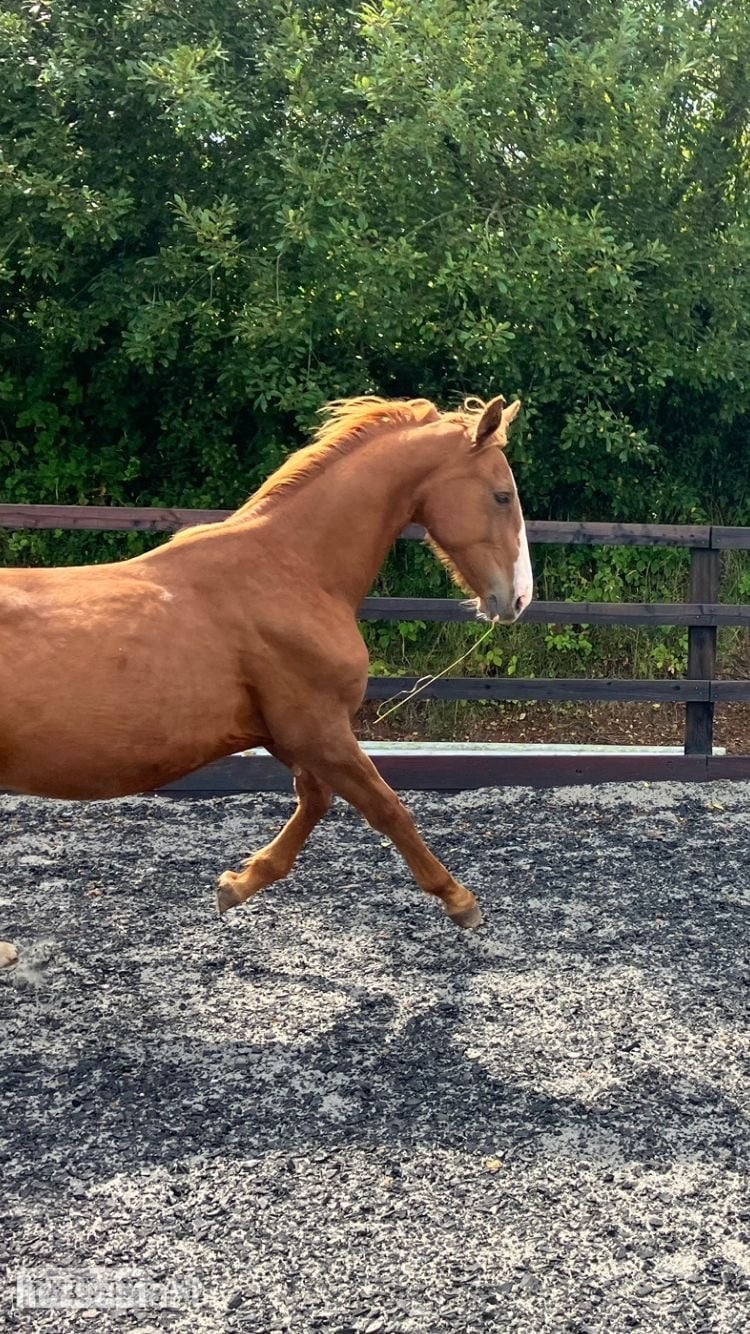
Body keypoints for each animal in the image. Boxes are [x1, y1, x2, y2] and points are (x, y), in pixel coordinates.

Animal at [0, 394, 532, 966]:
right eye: (502, 495)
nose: (519, 598)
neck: (292, 572)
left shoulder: (287, 734)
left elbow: (316, 801)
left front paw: (235, 885)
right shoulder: (319, 729)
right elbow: (388, 808)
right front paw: (460, 902)